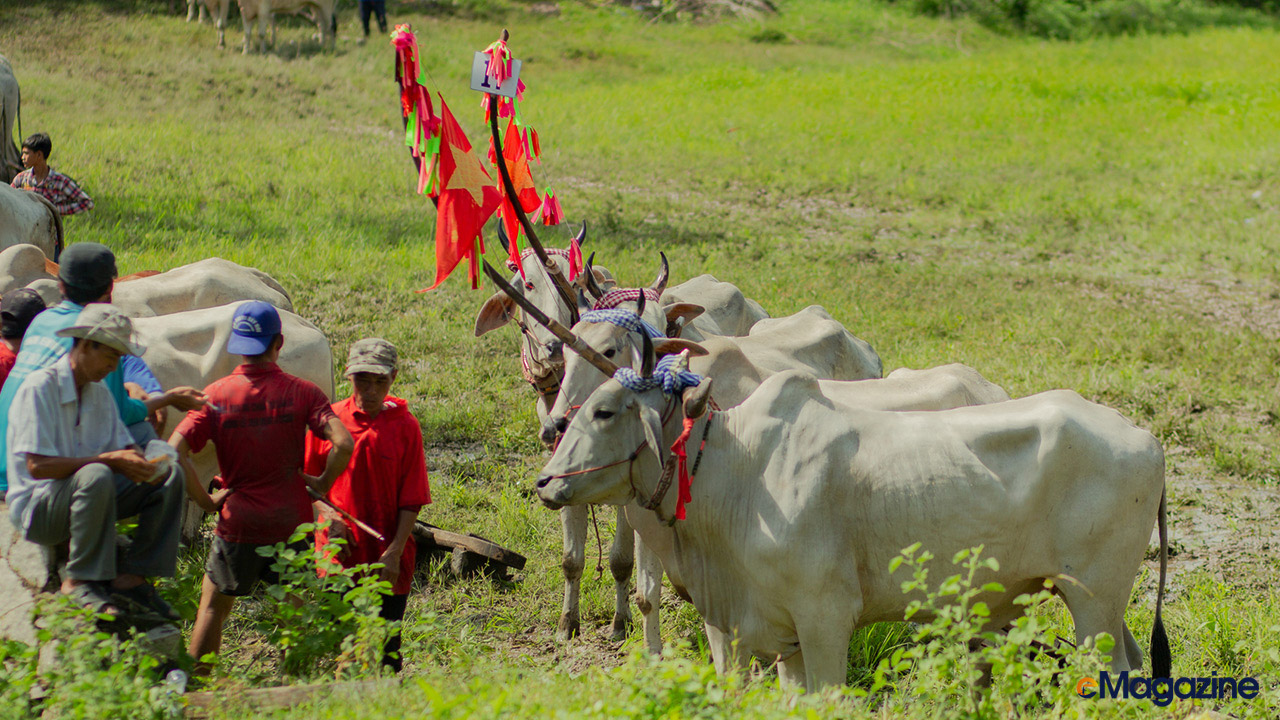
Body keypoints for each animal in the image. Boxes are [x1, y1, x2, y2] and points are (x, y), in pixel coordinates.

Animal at [540, 368, 1172, 691]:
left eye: (604, 411)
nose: (545, 481)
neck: (736, 468)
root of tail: (1145, 436)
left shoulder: (825, 615)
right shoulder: (766, 631)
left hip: (1093, 602)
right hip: (1101, 605)